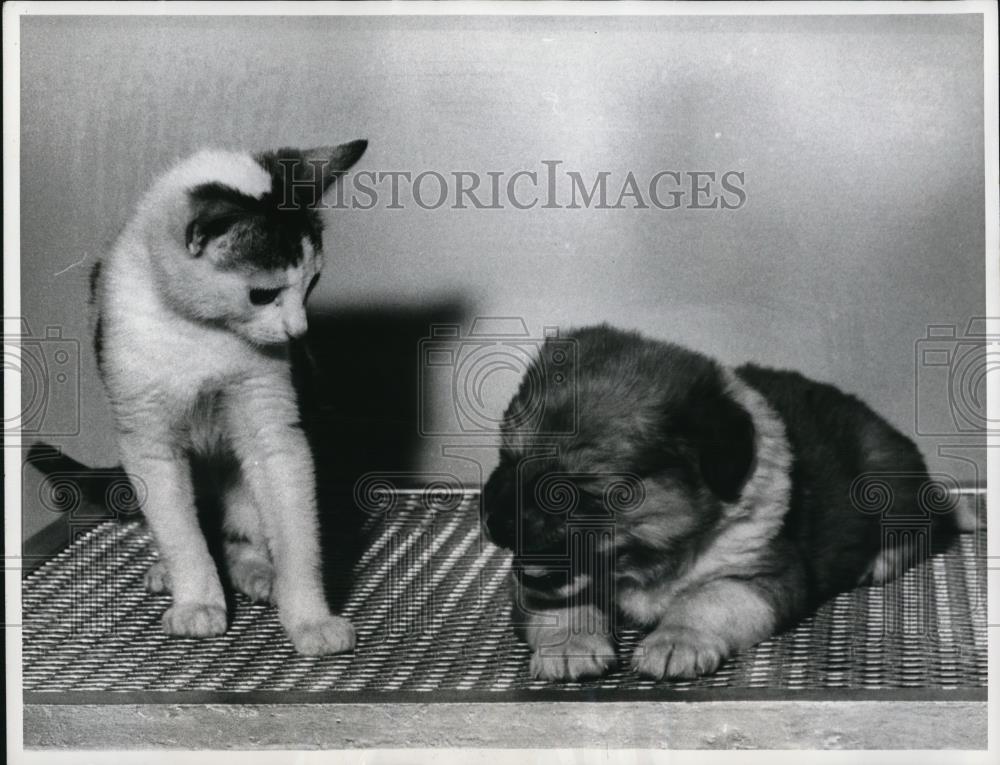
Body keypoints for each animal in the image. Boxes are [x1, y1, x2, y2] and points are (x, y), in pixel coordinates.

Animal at [88, 140, 366, 652]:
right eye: (262, 295)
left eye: (312, 285)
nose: (299, 333)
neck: (201, 333)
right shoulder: (146, 437)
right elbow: (180, 532)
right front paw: (197, 601)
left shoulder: (272, 417)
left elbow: (295, 525)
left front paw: (309, 618)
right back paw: (170, 572)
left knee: (243, 529)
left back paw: (256, 570)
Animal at [480, 324, 964, 680]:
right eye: (507, 458)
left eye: (581, 487)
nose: (494, 519)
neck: (652, 564)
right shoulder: (533, 585)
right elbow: (559, 606)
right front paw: (571, 646)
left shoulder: (757, 576)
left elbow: (704, 599)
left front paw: (675, 642)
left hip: (886, 480)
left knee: (928, 524)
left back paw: (880, 560)